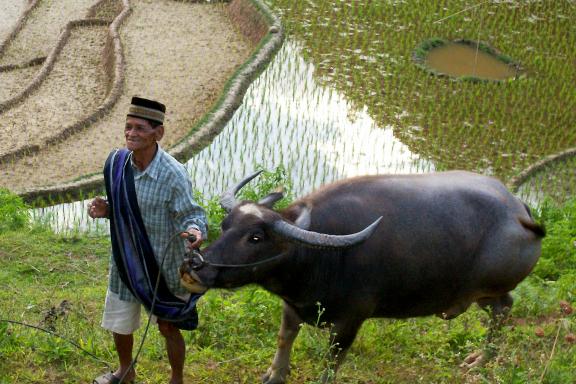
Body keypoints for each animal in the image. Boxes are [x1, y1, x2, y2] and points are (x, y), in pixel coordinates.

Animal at [181, 172, 544, 384]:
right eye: (226, 225)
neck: (318, 256)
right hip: (479, 295)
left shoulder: (351, 320)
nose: (196, 265)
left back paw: (481, 361)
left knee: (503, 309)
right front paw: (274, 375)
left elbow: (331, 362)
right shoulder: (292, 305)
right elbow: (285, 338)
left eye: (256, 237)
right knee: (504, 307)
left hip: (486, 287)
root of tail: (520, 212)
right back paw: (480, 358)